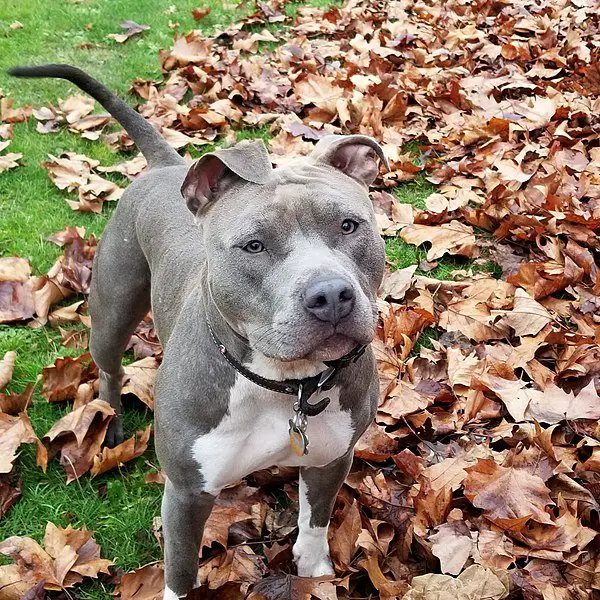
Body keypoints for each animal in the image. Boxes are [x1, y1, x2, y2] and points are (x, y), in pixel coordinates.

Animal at [10, 63, 390, 596]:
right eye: (253, 246)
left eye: (350, 226)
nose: (331, 295)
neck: (282, 382)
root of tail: (169, 166)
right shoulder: (187, 494)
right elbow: (182, 570)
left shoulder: (331, 460)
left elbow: (315, 524)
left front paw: (314, 572)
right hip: (113, 307)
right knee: (109, 366)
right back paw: (111, 423)